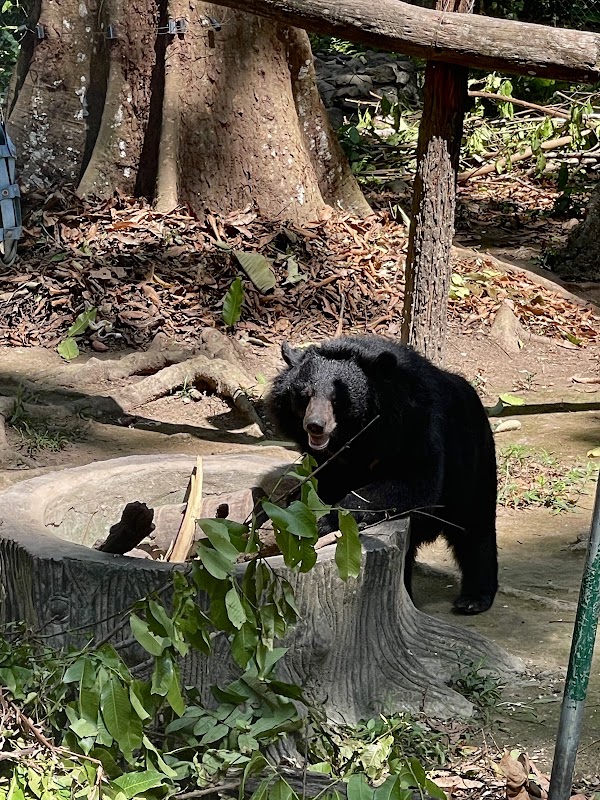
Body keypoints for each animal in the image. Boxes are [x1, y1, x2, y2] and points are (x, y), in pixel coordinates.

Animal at [267, 334, 498, 615]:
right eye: (304, 395)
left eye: (337, 399)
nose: (315, 426)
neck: (357, 434)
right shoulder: (327, 461)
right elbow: (320, 485)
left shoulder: (416, 425)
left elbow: (416, 483)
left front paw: (327, 520)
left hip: (471, 461)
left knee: (475, 526)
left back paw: (473, 599)